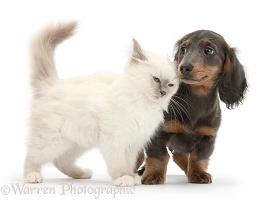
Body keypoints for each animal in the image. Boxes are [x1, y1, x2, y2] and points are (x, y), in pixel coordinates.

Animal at [24, 21, 179, 186]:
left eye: (170, 85)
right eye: (156, 79)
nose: (163, 92)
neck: (143, 105)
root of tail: (51, 84)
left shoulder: (133, 143)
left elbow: (128, 162)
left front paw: (131, 176)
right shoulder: (115, 140)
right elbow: (118, 163)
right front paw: (122, 178)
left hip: (77, 143)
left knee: (60, 161)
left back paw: (81, 173)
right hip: (53, 140)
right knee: (32, 156)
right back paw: (32, 176)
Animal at [139, 30, 248, 184]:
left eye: (209, 50)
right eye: (183, 49)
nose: (183, 67)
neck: (196, 98)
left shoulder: (208, 137)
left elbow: (198, 157)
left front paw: (198, 172)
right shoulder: (157, 134)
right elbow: (158, 156)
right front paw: (153, 174)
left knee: (180, 156)